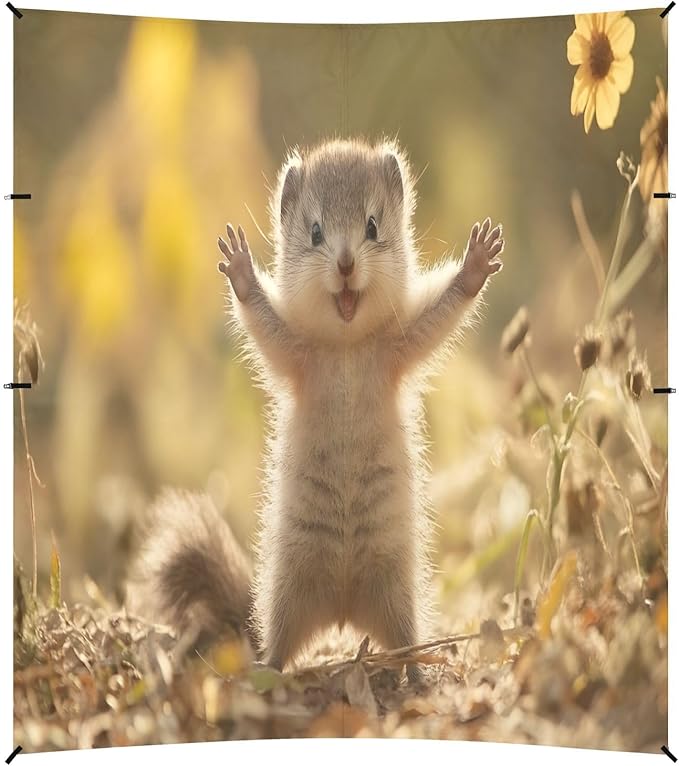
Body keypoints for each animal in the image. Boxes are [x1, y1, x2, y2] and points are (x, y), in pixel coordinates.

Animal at [125, 138, 504, 683]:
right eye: (316, 230)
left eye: (373, 225)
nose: (345, 263)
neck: (344, 348)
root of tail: (343, 611)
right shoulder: (294, 352)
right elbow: (263, 321)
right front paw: (241, 272)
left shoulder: (402, 343)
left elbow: (443, 312)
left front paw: (476, 263)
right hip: (288, 590)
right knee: (278, 643)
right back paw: (268, 671)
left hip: (397, 591)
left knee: (405, 642)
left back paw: (415, 673)